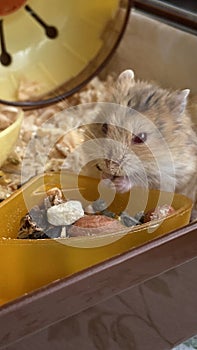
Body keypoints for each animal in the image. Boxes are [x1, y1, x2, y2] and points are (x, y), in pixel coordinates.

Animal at [95, 68, 197, 216]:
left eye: (141, 137)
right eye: (104, 127)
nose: (110, 165)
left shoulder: (168, 176)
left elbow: (142, 180)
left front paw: (119, 184)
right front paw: (105, 178)